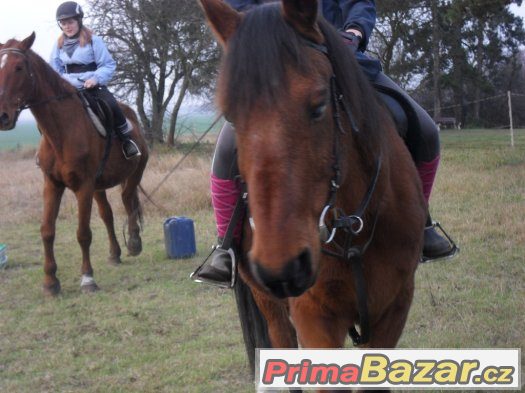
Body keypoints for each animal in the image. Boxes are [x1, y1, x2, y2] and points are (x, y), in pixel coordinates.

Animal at [0, 33, 147, 292]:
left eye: (18, 68)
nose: (2, 116)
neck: (61, 130)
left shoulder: (83, 187)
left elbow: (83, 233)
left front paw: (88, 278)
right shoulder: (52, 185)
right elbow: (47, 230)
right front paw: (50, 282)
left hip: (133, 174)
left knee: (128, 202)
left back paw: (134, 243)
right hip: (99, 186)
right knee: (108, 214)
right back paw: (115, 253)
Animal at [201, 0, 426, 386]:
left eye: (319, 105)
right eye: (231, 115)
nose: (283, 267)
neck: (353, 225)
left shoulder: (395, 307)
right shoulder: (314, 316)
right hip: (268, 301)